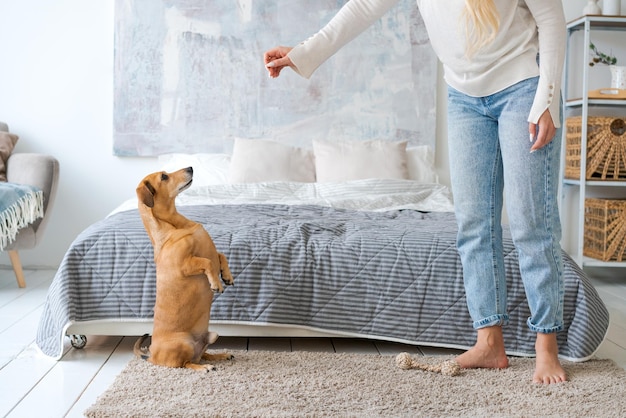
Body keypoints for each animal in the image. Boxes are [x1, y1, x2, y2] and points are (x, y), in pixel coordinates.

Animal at [133, 167, 233, 372]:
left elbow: (221, 256)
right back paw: (205, 368)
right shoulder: (186, 265)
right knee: (187, 363)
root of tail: (152, 356)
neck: (174, 225)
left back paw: (221, 355)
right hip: (184, 344)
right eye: (164, 176)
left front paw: (227, 276)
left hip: (212, 336)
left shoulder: (214, 254)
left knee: (203, 355)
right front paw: (216, 283)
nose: (190, 168)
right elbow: (208, 262)